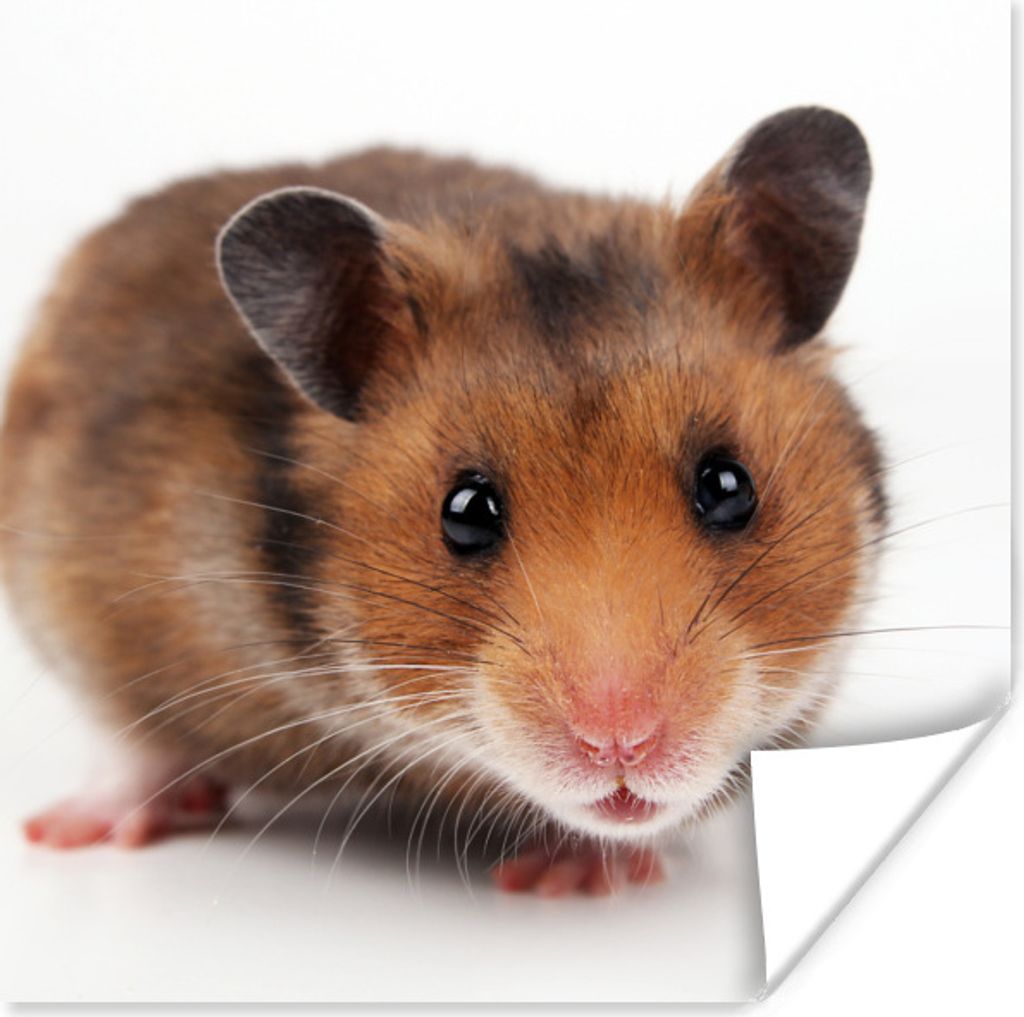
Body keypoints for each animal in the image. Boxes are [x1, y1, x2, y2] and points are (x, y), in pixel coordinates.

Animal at [0, 106, 884, 895]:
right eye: (464, 512)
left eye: (729, 487)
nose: (621, 746)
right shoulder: (79, 588)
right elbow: (127, 735)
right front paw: (59, 834)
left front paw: (569, 882)